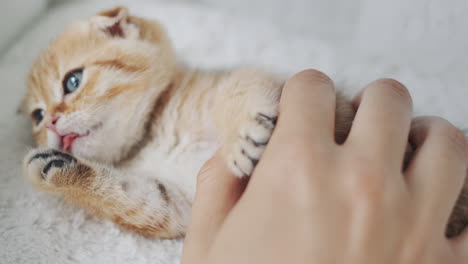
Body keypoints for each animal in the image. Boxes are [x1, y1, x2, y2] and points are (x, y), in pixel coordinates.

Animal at [20, 6, 466, 238]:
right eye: (38, 116)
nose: (53, 125)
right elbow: (133, 199)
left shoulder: (255, 81)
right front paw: (55, 168)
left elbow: (241, 92)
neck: (150, 136)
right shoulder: (177, 203)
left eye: (73, 81)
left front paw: (241, 139)